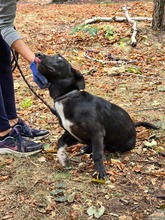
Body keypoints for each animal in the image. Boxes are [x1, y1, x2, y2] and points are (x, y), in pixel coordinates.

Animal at [36, 52, 159, 182]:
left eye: (59, 57)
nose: (37, 54)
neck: (67, 97)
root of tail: (134, 126)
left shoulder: (97, 132)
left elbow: (98, 154)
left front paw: (99, 171)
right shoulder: (71, 132)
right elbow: (60, 142)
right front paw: (62, 157)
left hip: (120, 145)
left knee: (105, 146)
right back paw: (85, 148)